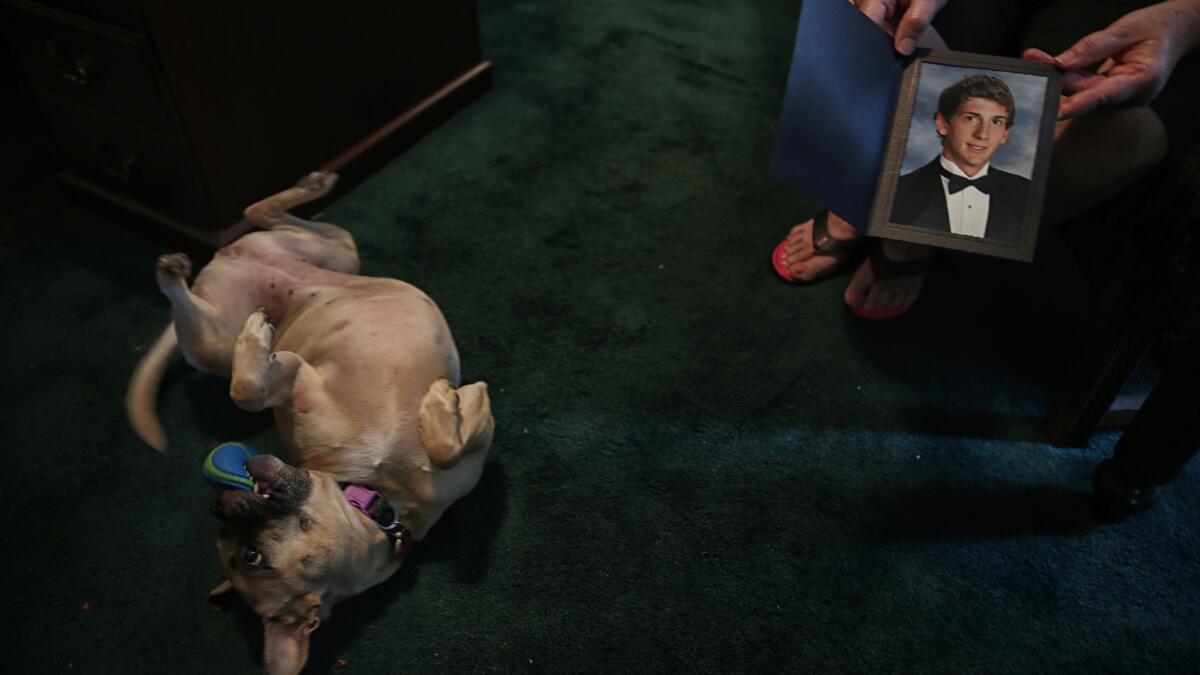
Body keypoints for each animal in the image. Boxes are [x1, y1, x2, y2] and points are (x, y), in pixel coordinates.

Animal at [126, 171, 492, 672]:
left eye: (251, 554)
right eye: (231, 544)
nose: (220, 505)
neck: (381, 501)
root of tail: (221, 261)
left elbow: (449, 443)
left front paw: (449, 399)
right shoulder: (295, 378)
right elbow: (246, 391)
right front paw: (445, 400)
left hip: (334, 251)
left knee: (264, 214)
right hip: (215, 341)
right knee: (236, 252)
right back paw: (182, 278)